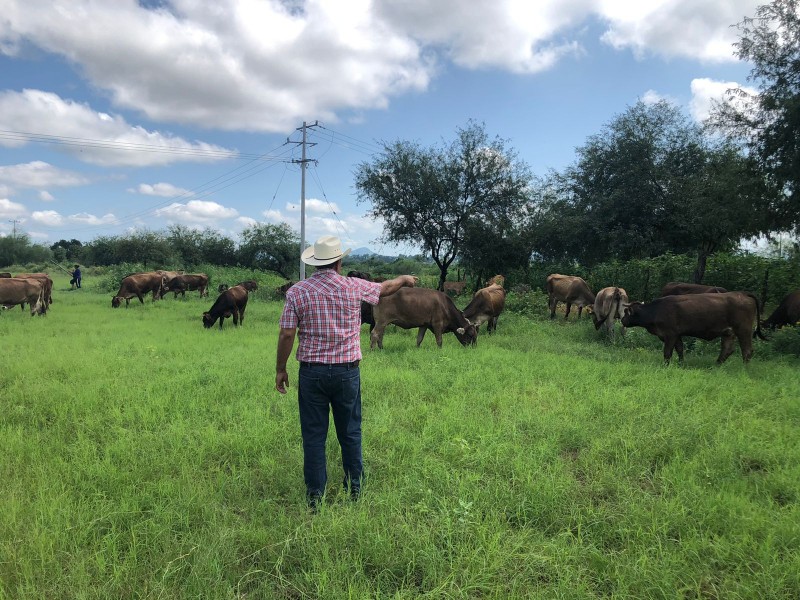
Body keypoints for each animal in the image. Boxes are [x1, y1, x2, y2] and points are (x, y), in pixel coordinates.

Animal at [620, 292, 764, 366]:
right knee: (727, 350)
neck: (656, 310)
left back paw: (744, 368)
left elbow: (667, 352)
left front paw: (666, 365)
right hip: (728, 333)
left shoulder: (670, 334)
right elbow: (680, 349)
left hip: (744, 330)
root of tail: (743, 294)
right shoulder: (677, 335)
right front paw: (681, 363)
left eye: (627, 312)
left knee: (747, 351)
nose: (622, 320)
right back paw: (716, 365)